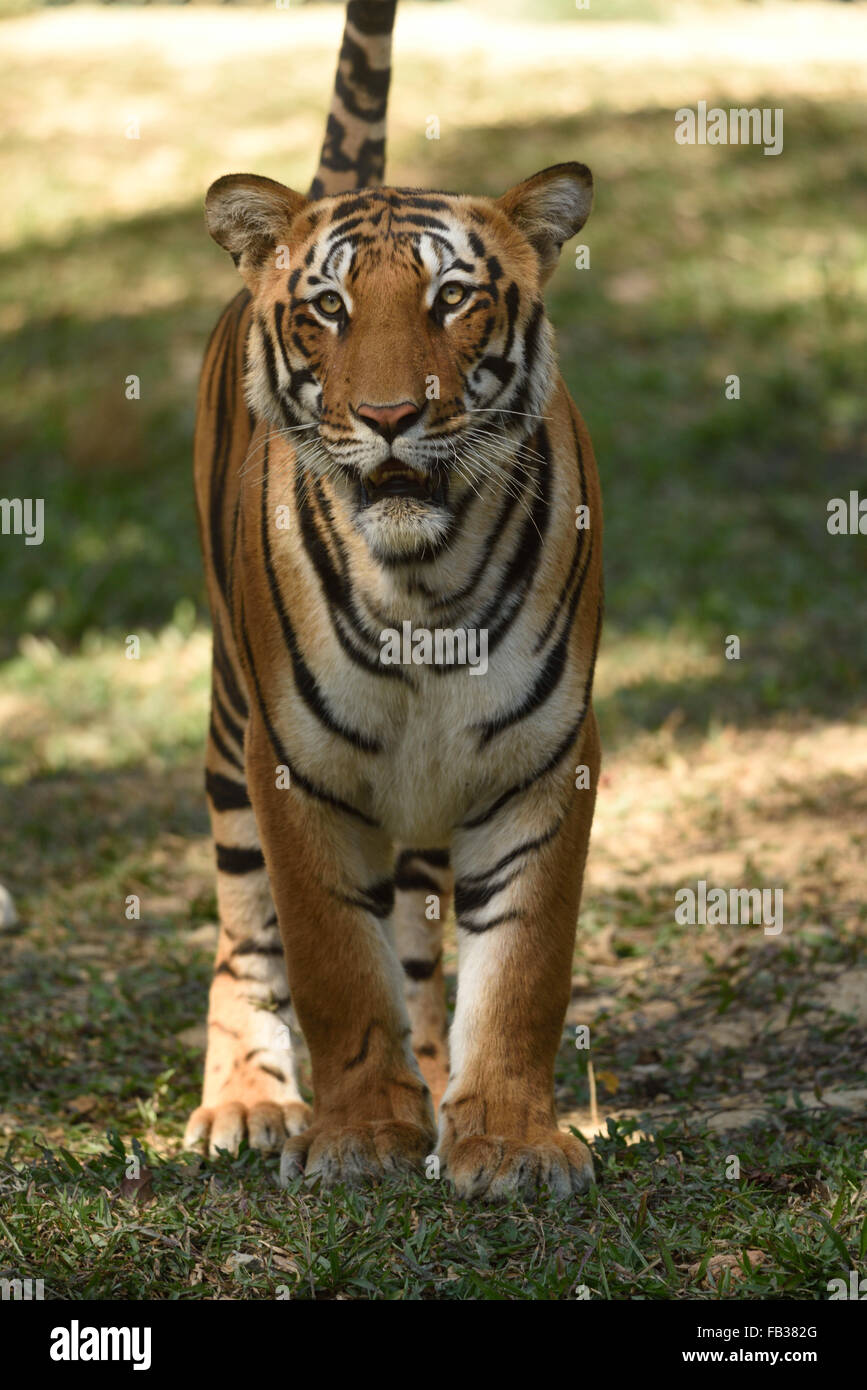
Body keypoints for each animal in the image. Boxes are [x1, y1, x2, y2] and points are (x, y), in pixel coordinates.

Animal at [184, 0, 603, 1200]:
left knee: (417, 943)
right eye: (327, 308)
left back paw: (434, 1085)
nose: (385, 418)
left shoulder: (547, 758)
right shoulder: (293, 766)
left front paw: (504, 1137)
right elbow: (333, 966)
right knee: (244, 933)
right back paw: (247, 1101)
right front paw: (361, 1133)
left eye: (450, 297)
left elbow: (522, 968)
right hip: (229, 729)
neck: (425, 586)